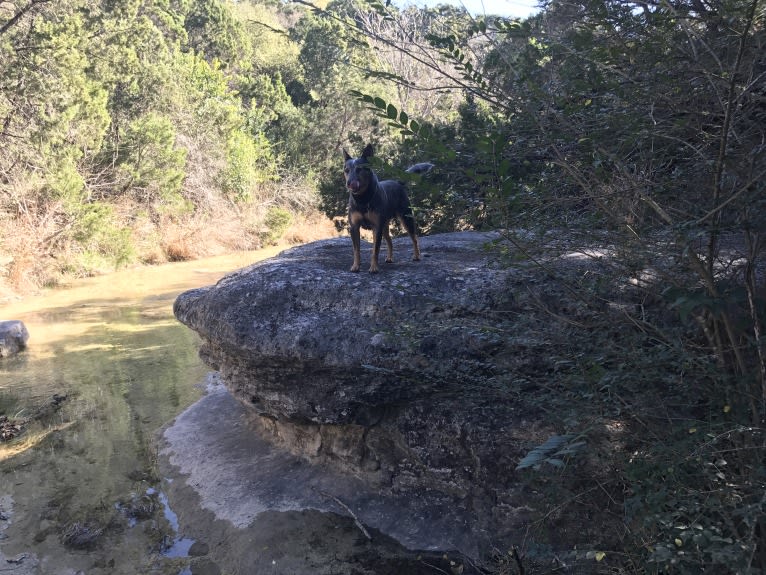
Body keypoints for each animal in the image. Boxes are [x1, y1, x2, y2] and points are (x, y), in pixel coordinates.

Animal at [344, 145, 432, 274]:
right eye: (346, 170)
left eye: (360, 169)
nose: (349, 183)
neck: (363, 200)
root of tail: (398, 182)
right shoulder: (354, 227)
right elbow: (356, 250)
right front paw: (355, 266)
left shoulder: (376, 227)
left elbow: (375, 250)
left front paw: (374, 267)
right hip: (384, 225)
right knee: (390, 241)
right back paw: (390, 258)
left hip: (406, 218)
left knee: (414, 238)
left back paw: (417, 256)